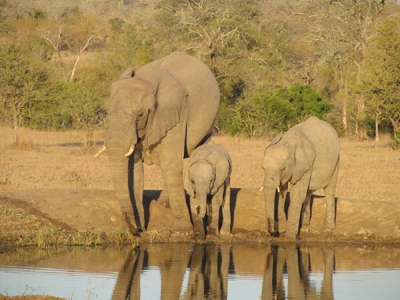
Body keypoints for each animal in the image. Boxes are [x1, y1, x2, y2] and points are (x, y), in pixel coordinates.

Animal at [97, 52, 222, 234]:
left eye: (140, 114)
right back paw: (162, 204)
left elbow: (170, 163)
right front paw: (139, 228)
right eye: (107, 111)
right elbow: (134, 169)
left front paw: (181, 232)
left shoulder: (175, 113)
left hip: (208, 123)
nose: (134, 230)